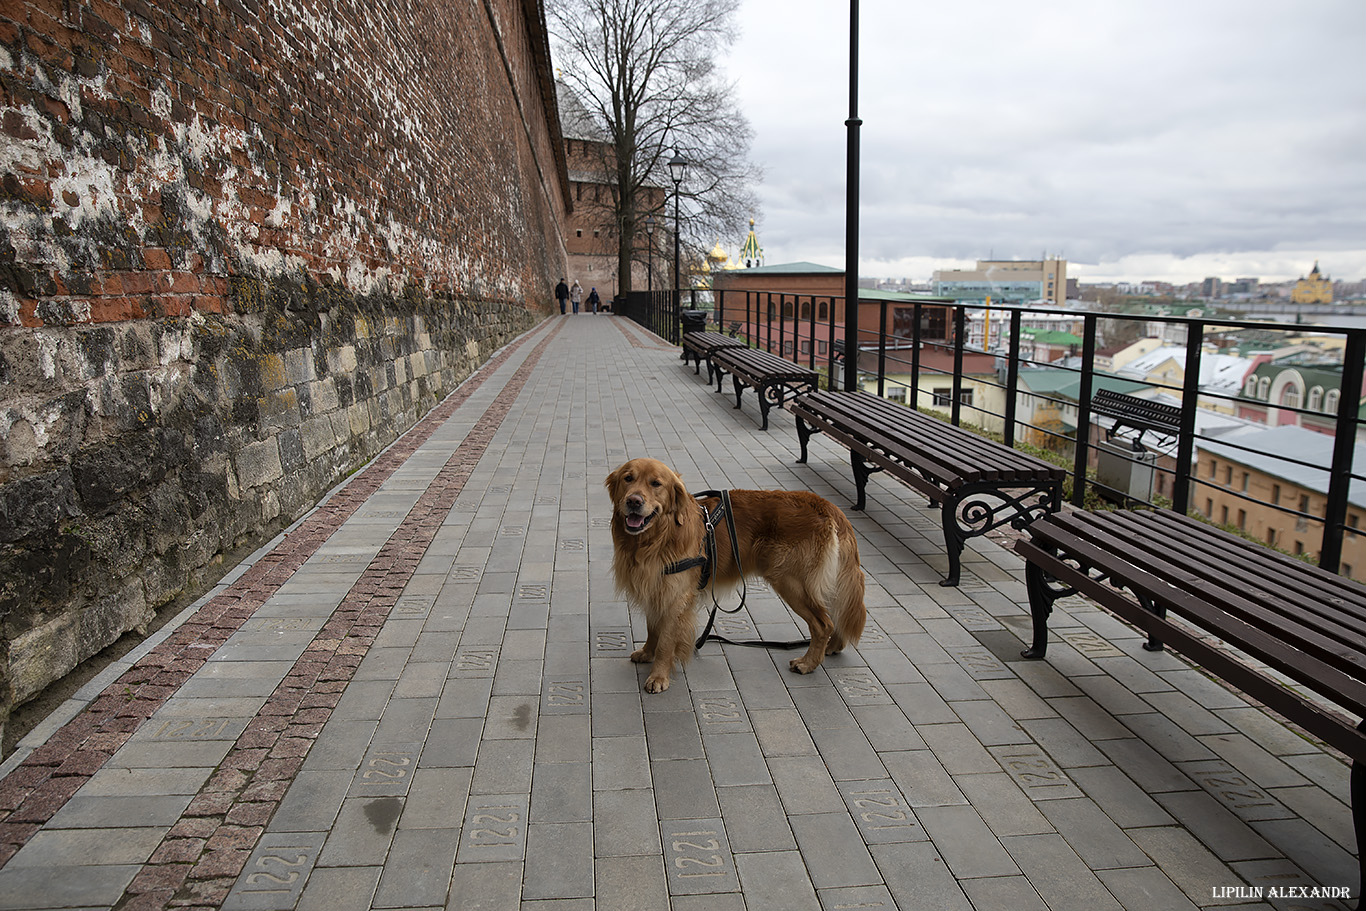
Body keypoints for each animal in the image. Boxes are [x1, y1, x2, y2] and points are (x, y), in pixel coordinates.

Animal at [606, 458, 863, 693]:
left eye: (656, 483)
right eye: (628, 478)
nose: (633, 501)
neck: (658, 537)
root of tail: (825, 505)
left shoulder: (676, 596)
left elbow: (666, 640)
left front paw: (659, 676)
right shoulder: (654, 587)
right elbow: (653, 628)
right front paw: (647, 652)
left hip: (792, 582)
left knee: (823, 623)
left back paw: (808, 663)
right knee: (835, 613)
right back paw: (832, 646)